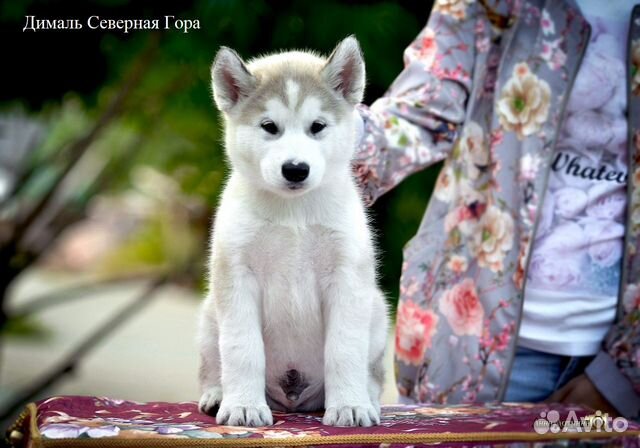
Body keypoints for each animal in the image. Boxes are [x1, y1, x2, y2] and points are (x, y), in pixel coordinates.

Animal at [199, 37, 390, 428]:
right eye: (269, 126)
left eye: (317, 126)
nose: (296, 169)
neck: (294, 214)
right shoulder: (236, 275)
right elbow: (242, 349)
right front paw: (244, 406)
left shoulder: (347, 278)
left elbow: (344, 349)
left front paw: (349, 406)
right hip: (209, 313)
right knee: (213, 363)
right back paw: (217, 394)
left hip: (377, 309)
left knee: (372, 372)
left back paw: (366, 398)